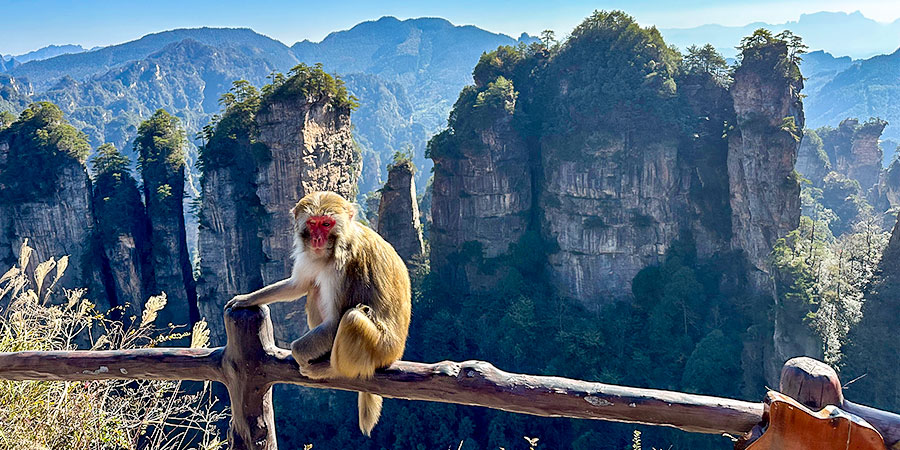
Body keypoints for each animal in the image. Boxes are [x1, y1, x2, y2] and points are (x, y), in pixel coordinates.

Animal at [224, 191, 411, 436]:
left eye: (326, 224)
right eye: (313, 224)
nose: (317, 240)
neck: (335, 246)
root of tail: (397, 351)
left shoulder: (342, 266)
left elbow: (334, 323)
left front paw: (298, 352)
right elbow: (298, 285)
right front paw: (246, 298)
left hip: (381, 349)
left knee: (352, 318)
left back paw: (330, 369)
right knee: (314, 288)